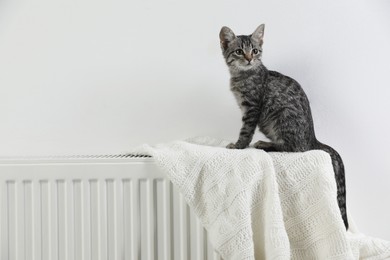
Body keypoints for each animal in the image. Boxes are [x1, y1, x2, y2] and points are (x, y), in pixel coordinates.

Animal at [218, 24, 348, 230]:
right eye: (239, 51)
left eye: (255, 51)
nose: (249, 58)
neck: (243, 76)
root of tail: (313, 138)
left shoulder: (252, 108)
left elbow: (246, 131)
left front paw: (239, 146)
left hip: (282, 117)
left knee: (295, 148)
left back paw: (266, 145)